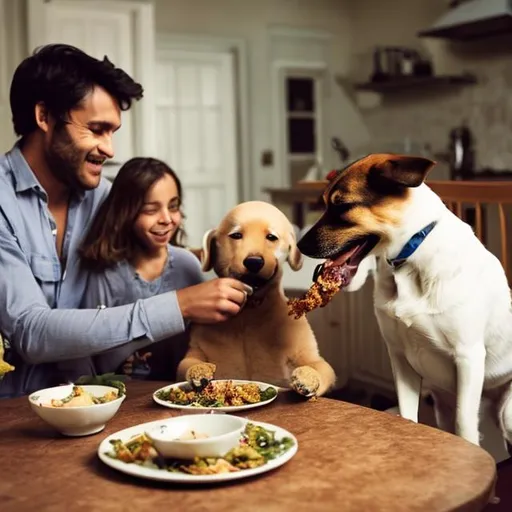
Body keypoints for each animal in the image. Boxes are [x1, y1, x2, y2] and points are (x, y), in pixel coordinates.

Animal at [176, 199, 336, 396]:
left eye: (272, 237)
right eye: (236, 235)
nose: (253, 261)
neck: (249, 312)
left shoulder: (309, 355)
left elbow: (318, 366)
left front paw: (306, 377)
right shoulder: (196, 350)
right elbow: (189, 362)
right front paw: (199, 371)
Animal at [296, 155, 512, 448]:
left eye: (342, 205)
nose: (298, 245)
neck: (410, 256)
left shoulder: (468, 356)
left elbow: (464, 426)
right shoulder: (399, 356)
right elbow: (408, 416)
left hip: (507, 412)